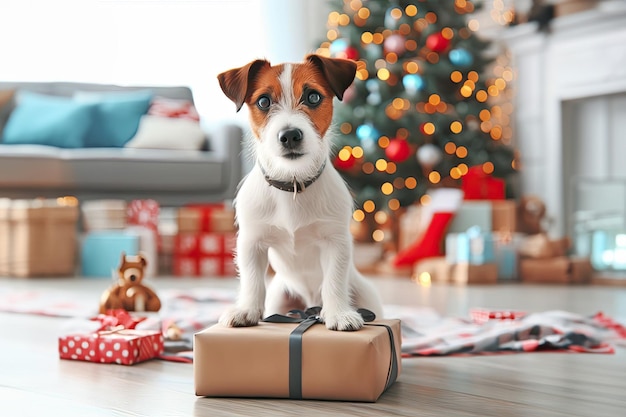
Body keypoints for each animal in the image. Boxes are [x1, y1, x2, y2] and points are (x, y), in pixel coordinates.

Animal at [216, 53, 380, 330]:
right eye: (263, 101)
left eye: (313, 97)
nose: (290, 135)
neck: (292, 184)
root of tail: (308, 306)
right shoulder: (251, 242)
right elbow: (252, 279)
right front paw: (246, 310)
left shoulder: (336, 241)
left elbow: (334, 280)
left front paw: (338, 314)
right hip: (279, 298)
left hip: (367, 296)